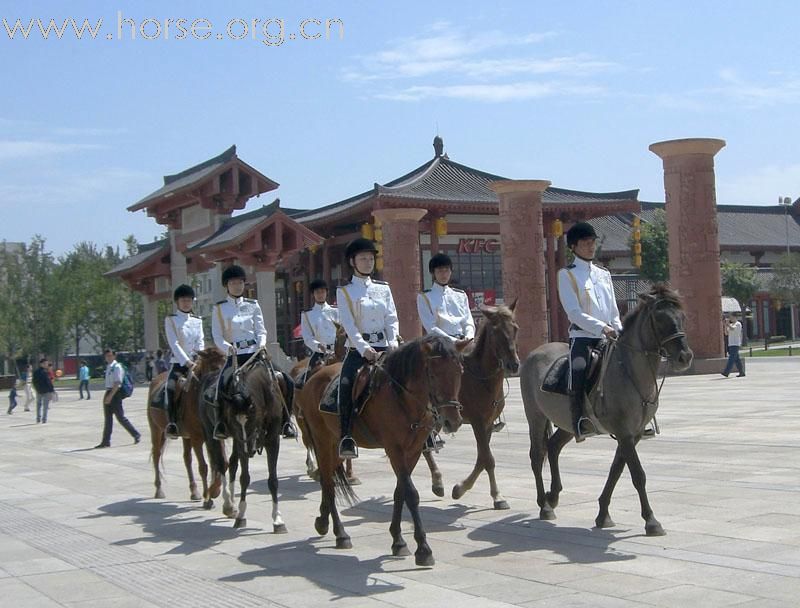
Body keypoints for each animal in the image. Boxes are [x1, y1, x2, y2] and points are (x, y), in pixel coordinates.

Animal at [146, 346, 225, 504]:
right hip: (156, 430)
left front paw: (215, 490)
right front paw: (208, 498)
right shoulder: (196, 438)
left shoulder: (213, 436)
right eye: (214, 368)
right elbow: (204, 467)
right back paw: (159, 489)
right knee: (157, 455)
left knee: (187, 459)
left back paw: (194, 491)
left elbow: (218, 462)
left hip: (185, 436)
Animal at [296, 334, 466, 568]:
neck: (402, 397)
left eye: (460, 370)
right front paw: (423, 549)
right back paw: (341, 534)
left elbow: (400, 492)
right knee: (328, 484)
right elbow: (411, 493)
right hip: (321, 439)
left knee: (327, 476)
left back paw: (322, 522)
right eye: (433, 373)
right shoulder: (394, 448)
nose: (452, 421)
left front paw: (398, 540)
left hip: (333, 443)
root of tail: (313, 378)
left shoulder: (413, 450)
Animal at [422, 302, 520, 508]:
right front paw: (497, 496)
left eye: (515, 328)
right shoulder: (477, 422)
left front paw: (460, 489)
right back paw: (436, 482)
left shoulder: (488, 423)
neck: (482, 377)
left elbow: (483, 458)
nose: (513, 365)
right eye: (495, 332)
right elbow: (487, 458)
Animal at [520, 282, 692, 536]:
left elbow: (616, 470)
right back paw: (544, 505)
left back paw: (553, 496)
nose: (685, 357)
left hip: (568, 424)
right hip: (535, 416)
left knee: (553, 447)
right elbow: (637, 474)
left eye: (682, 317)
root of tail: (534, 353)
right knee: (536, 454)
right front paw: (651, 521)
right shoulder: (624, 433)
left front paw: (603, 515)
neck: (630, 371)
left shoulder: (632, 434)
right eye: (660, 319)